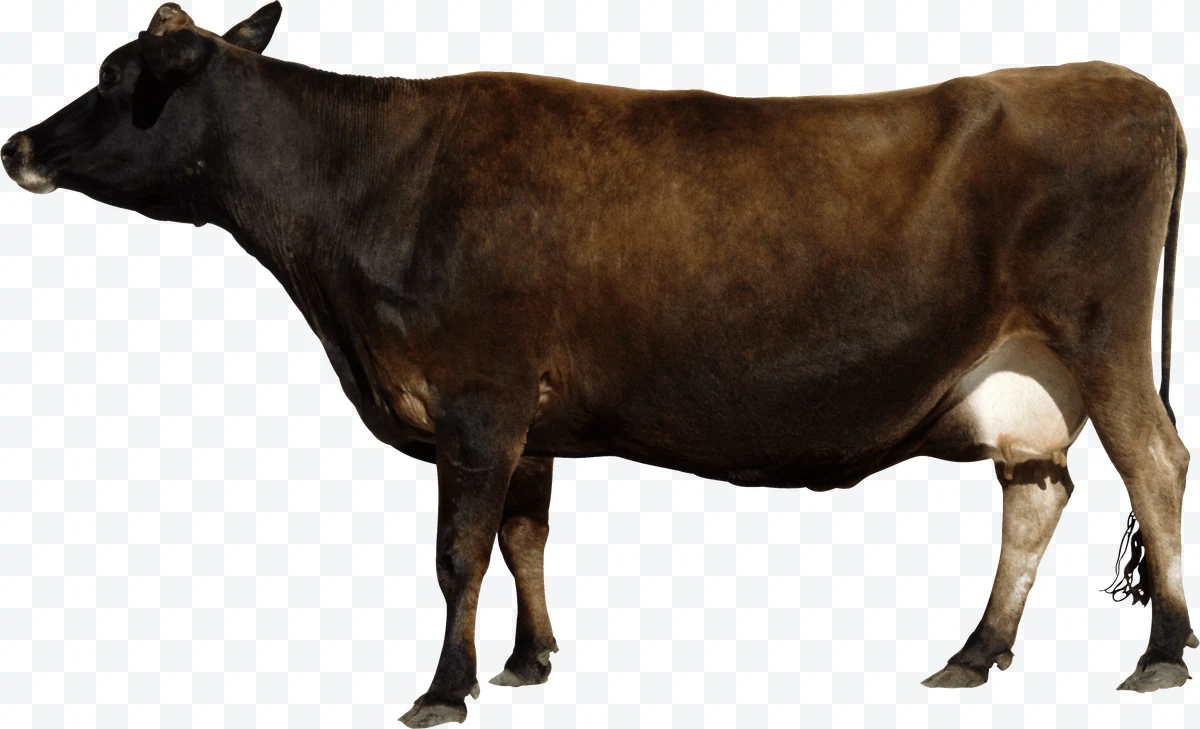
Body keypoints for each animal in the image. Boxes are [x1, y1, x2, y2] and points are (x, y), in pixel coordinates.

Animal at [2, 2, 1194, 726]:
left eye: (117, 76)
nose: (17, 146)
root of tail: (1130, 83)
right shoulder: (526, 418)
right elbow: (524, 538)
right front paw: (529, 661)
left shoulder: (475, 398)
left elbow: (459, 555)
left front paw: (446, 687)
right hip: (1026, 378)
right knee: (1037, 489)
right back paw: (975, 650)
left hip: (1103, 336)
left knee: (1155, 463)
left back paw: (1161, 651)